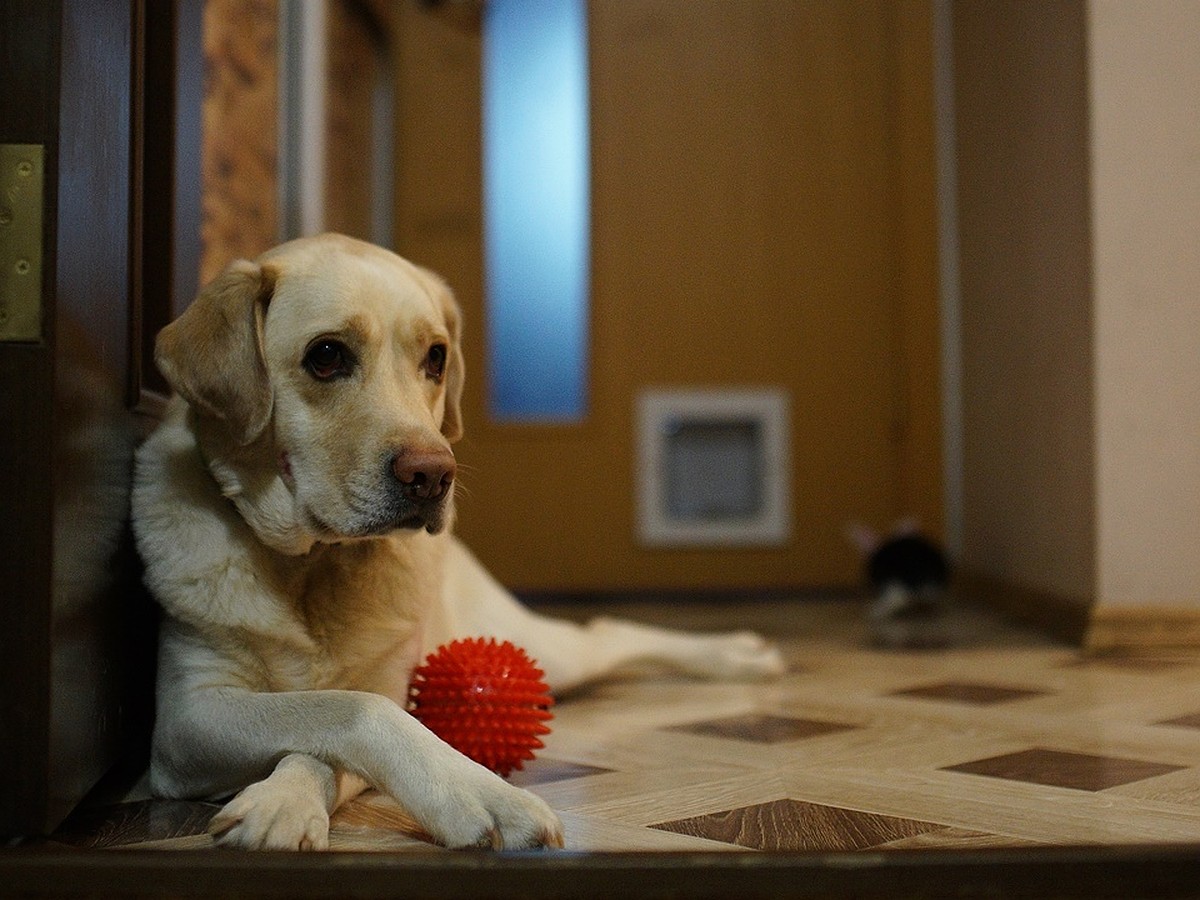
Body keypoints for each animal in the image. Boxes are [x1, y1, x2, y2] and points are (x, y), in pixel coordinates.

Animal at [133, 232, 787, 854]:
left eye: (436, 357)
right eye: (326, 356)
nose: (434, 475)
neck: (313, 571)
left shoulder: (389, 688)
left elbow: (344, 719)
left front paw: (471, 793)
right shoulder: (186, 719)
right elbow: (342, 711)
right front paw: (286, 802)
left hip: (542, 649)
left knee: (610, 631)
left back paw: (738, 653)